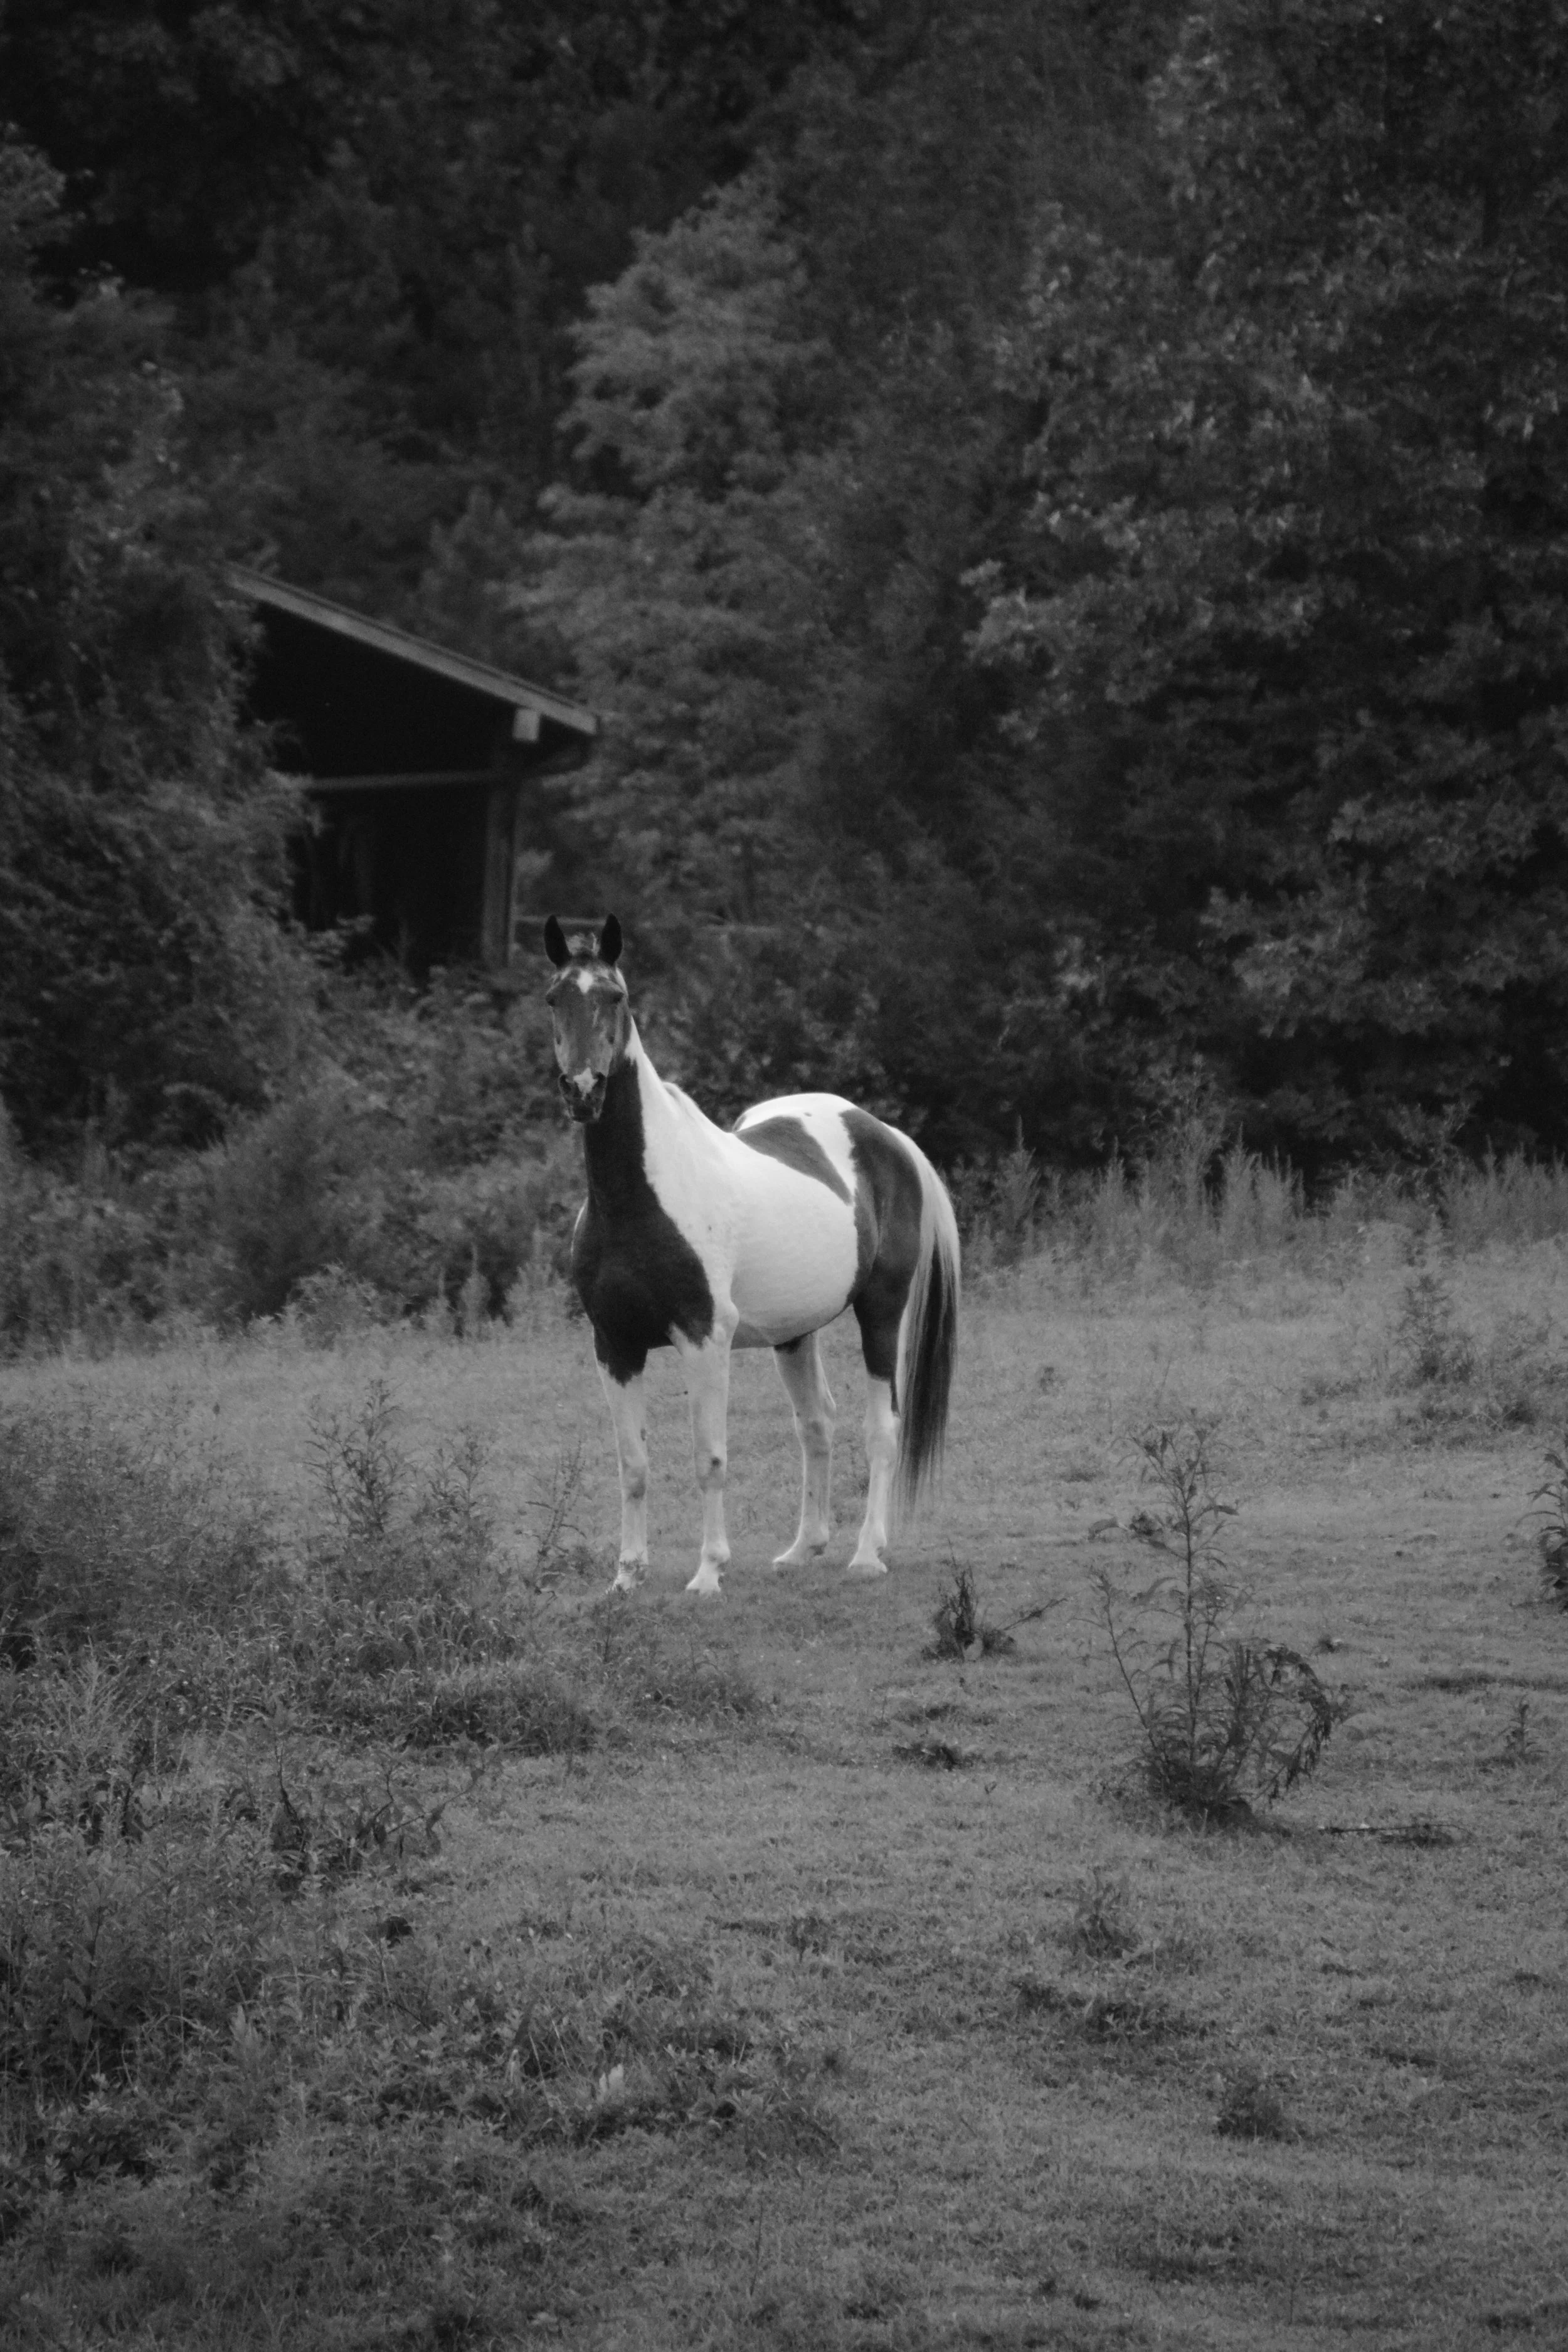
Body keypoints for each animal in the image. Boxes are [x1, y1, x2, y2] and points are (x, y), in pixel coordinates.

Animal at [543, 915, 960, 1595]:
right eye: (554, 998)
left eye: (615, 996)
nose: (583, 1089)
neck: (639, 1199)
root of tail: (886, 1136)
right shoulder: (615, 1345)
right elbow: (633, 1463)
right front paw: (627, 1577)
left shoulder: (703, 1339)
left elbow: (709, 1457)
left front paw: (709, 1573)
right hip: (794, 1335)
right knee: (816, 1424)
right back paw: (802, 1549)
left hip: (881, 1312)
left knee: (881, 1429)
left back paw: (867, 1554)